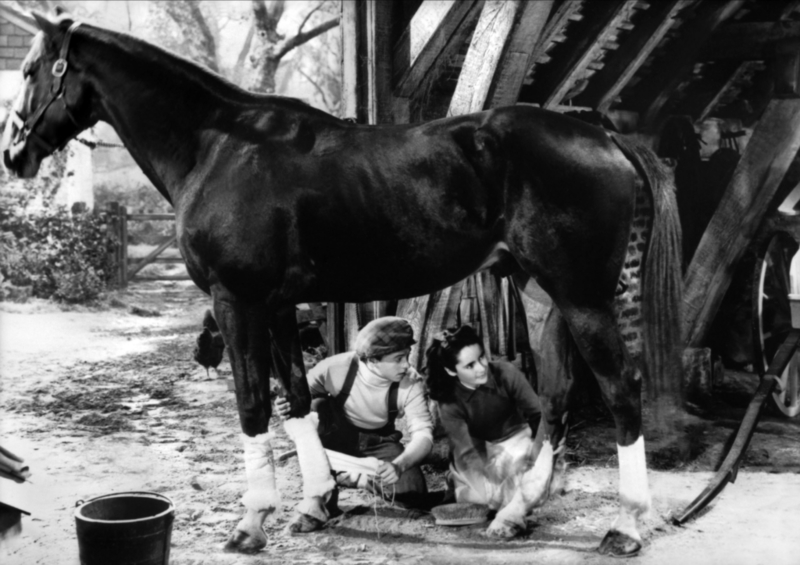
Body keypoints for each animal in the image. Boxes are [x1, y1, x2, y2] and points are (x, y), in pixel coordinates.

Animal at [3, 12, 684, 556]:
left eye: (34, 68)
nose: (13, 153)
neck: (217, 146)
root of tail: (600, 131)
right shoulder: (278, 307)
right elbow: (298, 402)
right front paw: (313, 505)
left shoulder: (237, 302)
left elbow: (252, 407)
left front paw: (251, 524)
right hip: (539, 292)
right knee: (559, 393)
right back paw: (514, 515)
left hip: (582, 297)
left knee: (619, 389)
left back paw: (627, 526)